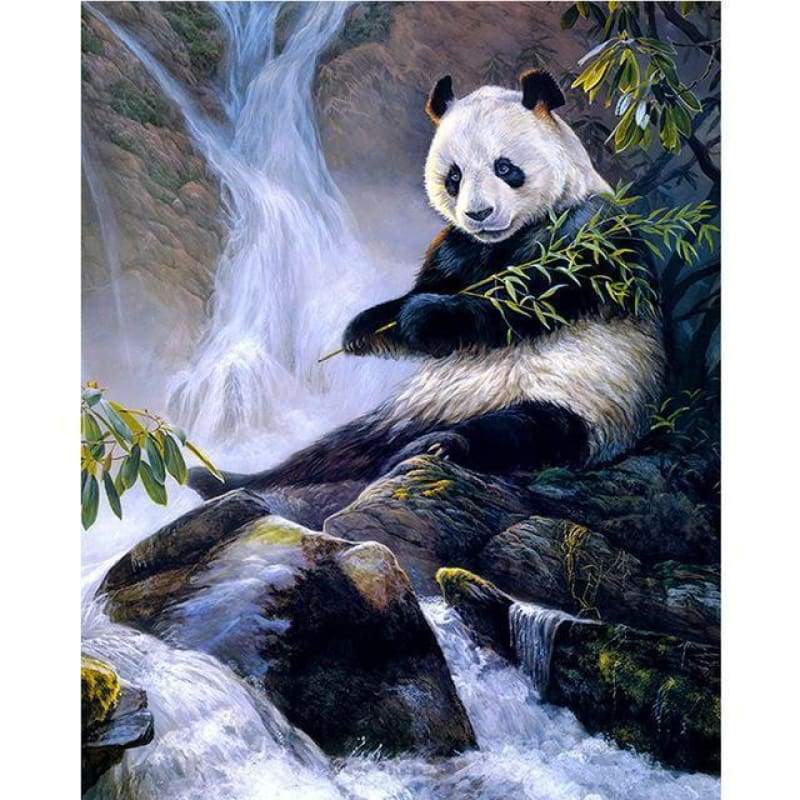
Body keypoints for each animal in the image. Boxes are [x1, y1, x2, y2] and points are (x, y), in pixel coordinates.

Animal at [189, 69, 665, 500]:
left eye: (505, 167)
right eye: (454, 177)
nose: (478, 213)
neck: (504, 241)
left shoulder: (586, 235)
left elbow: (523, 303)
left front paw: (423, 316)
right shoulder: (455, 247)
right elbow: (428, 291)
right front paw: (364, 328)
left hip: (582, 401)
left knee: (522, 432)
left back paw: (443, 446)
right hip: (404, 408)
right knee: (336, 450)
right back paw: (224, 479)